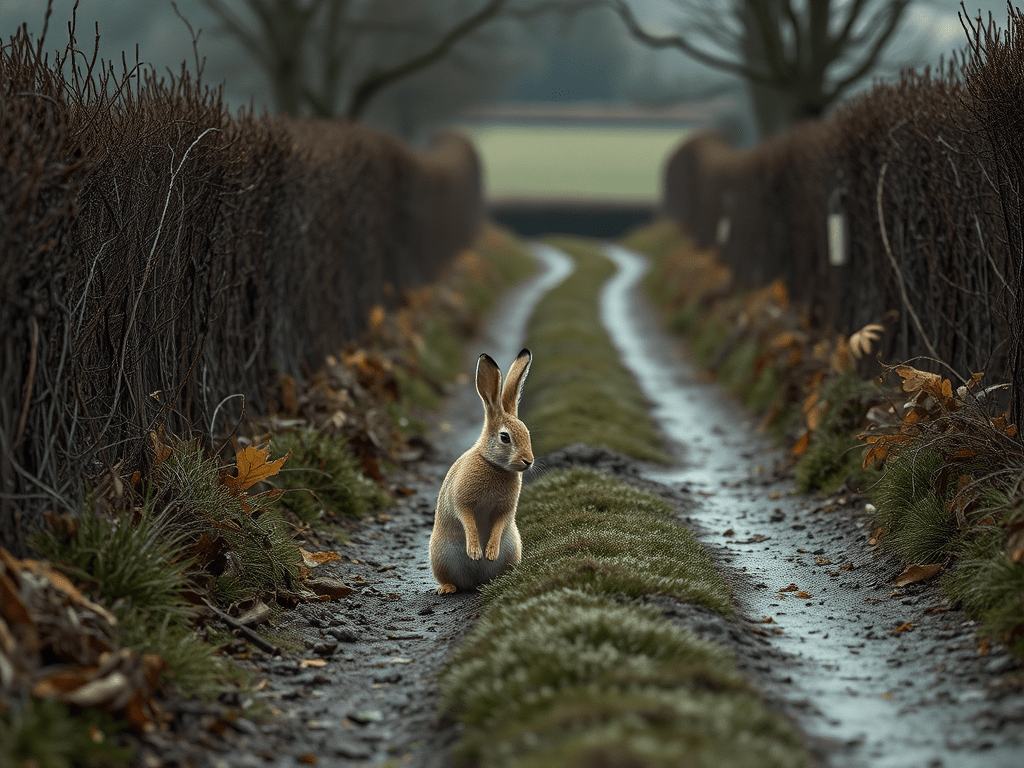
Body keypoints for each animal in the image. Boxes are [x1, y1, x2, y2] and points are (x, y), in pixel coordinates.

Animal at [429, 348, 534, 595]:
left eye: (527, 434)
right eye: (505, 437)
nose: (528, 461)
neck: (493, 465)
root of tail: (475, 582)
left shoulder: (505, 509)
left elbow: (499, 524)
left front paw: (490, 552)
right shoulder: (461, 500)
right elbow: (467, 519)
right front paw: (476, 552)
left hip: (513, 549)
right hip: (439, 555)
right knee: (450, 579)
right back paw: (447, 588)